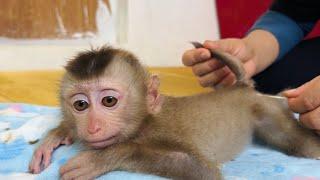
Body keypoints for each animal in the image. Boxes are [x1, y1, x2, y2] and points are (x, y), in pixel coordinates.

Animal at [28, 44, 318, 179]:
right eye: (80, 105)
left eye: (109, 101)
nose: (92, 127)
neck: (144, 122)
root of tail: (241, 88)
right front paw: (57, 134)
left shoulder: (162, 130)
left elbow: (203, 171)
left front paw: (101, 158)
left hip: (265, 108)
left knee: (302, 145)